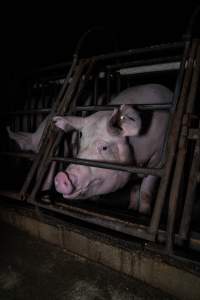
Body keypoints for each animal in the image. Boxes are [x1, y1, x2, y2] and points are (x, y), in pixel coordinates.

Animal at [53, 84, 173, 213]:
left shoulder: (158, 160)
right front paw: (131, 209)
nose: (61, 176)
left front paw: (143, 212)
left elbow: (146, 189)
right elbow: (134, 188)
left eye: (104, 148)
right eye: (81, 143)